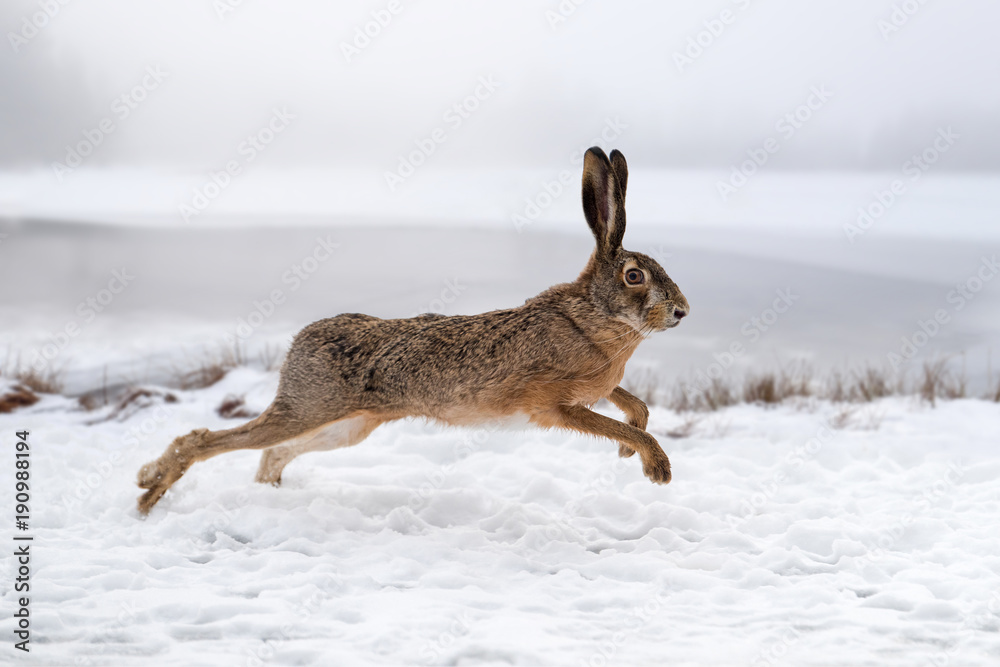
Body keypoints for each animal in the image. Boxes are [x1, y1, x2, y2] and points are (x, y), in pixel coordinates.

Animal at [136, 147, 689, 514]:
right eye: (635, 276)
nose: (682, 311)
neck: (593, 317)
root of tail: (300, 341)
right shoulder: (555, 405)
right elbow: (621, 421)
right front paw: (655, 467)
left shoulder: (599, 386)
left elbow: (635, 405)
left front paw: (628, 451)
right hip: (309, 407)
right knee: (208, 439)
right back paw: (149, 489)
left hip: (350, 424)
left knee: (274, 452)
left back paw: (268, 498)